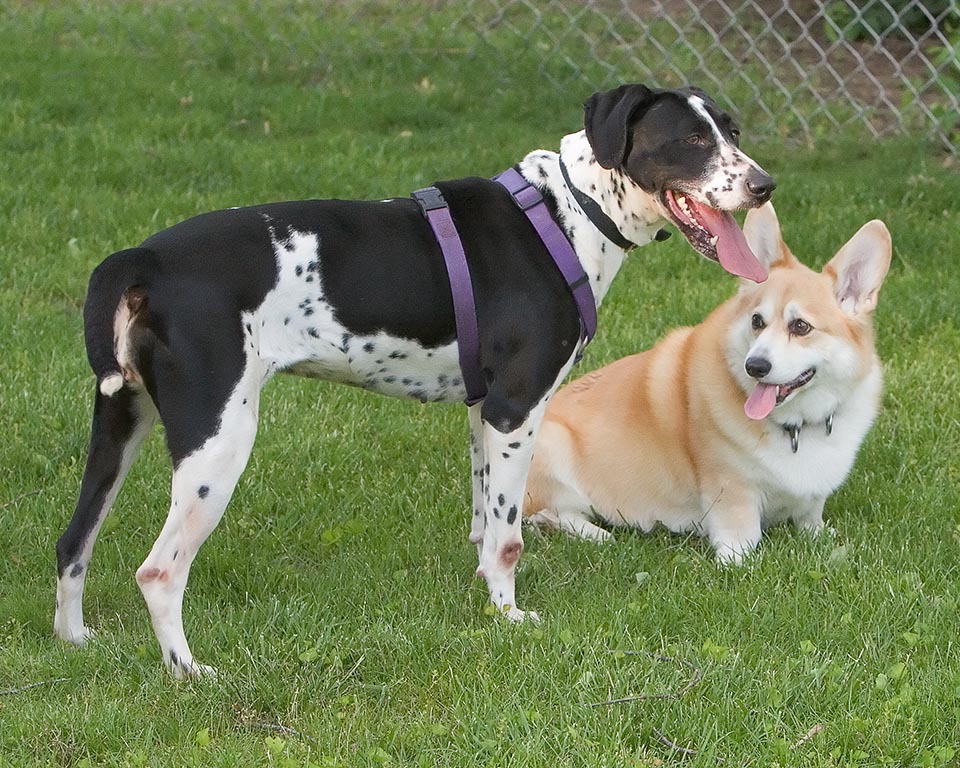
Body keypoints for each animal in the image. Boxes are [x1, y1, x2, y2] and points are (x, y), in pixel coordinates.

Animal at [56, 81, 772, 676]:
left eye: (733, 130)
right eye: (691, 140)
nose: (765, 185)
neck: (567, 211)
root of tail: (143, 259)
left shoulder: (484, 412)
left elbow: (485, 525)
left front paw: (487, 601)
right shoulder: (516, 409)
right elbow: (508, 538)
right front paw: (510, 617)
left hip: (119, 429)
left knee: (74, 540)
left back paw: (75, 640)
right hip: (218, 444)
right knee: (158, 572)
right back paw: (188, 672)